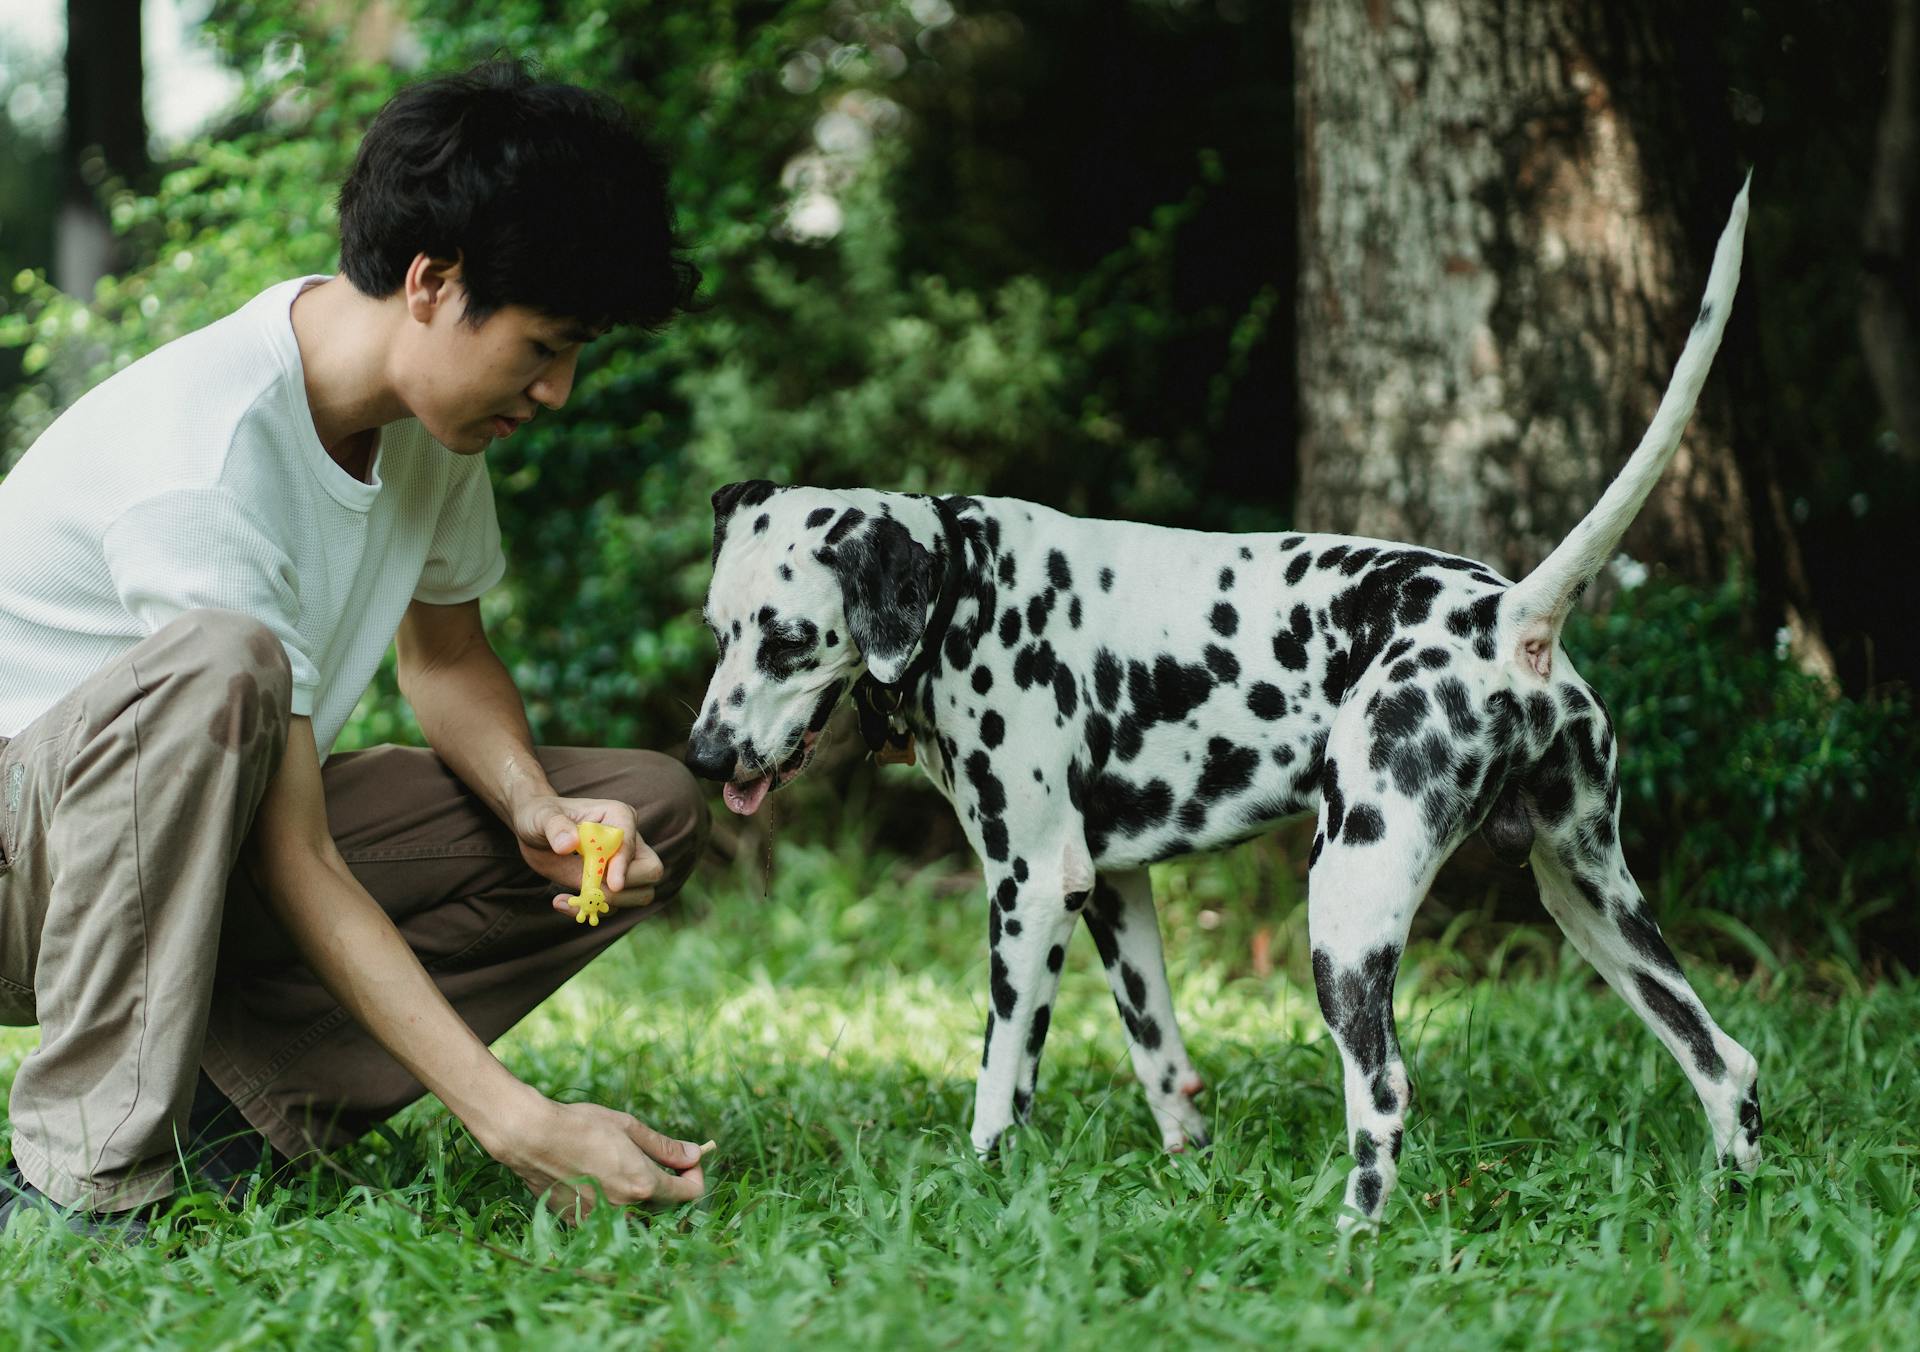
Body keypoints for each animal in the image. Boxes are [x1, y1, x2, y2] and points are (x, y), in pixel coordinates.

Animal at [683, 176, 1758, 1229]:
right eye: (716, 631)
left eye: (786, 640)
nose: (702, 759)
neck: (967, 587)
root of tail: (1507, 614)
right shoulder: (1113, 890)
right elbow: (1159, 1054)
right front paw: (1186, 1169)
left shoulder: (1029, 891)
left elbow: (1001, 1081)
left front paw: (980, 1183)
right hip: (1589, 899)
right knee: (1725, 1062)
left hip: (1348, 915)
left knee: (1384, 1092)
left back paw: (1352, 1238)